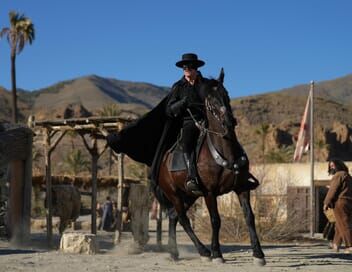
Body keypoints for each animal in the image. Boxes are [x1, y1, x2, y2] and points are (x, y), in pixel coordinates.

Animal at [155, 68, 266, 266]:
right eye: (210, 100)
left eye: (226, 94)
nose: (229, 122)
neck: (226, 152)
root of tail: (162, 164)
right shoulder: (209, 193)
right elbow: (215, 220)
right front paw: (216, 253)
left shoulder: (242, 188)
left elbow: (249, 217)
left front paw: (258, 254)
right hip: (174, 193)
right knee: (183, 219)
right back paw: (203, 251)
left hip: (189, 195)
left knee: (175, 217)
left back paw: (174, 252)